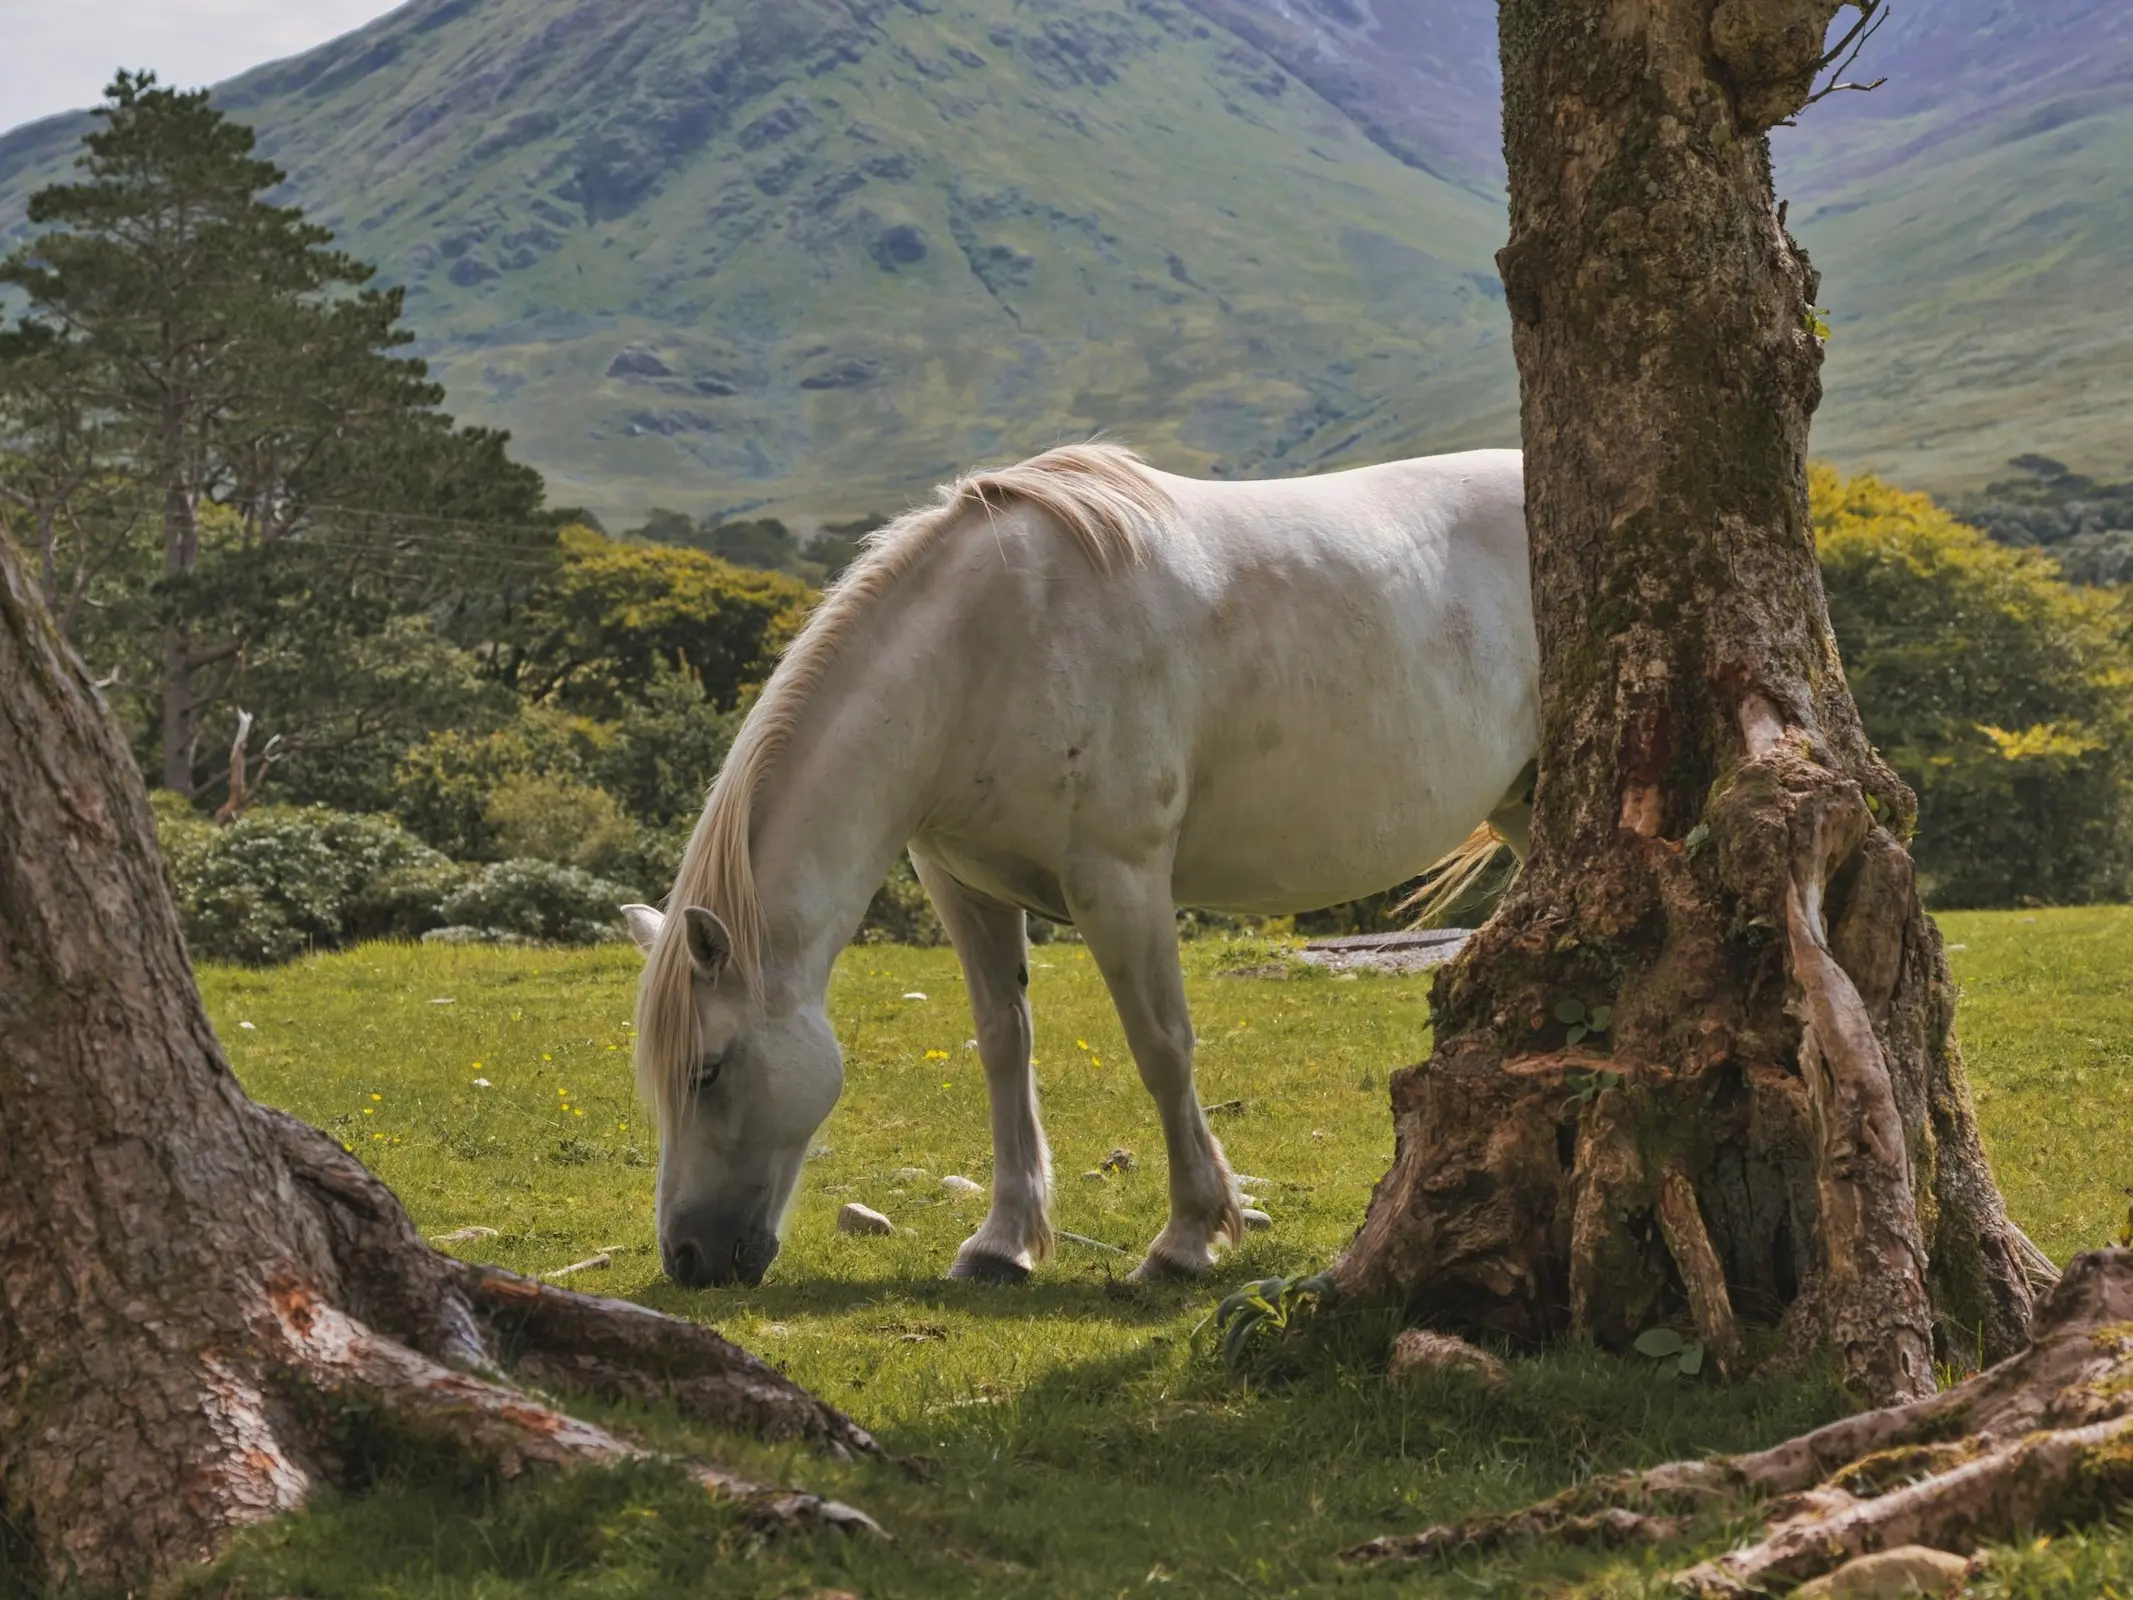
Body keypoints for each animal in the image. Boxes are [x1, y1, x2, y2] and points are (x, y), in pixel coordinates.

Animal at [618, 439, 1535, 1288]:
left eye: (707, 1071)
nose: (688, 1257)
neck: (989, 650)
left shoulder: (1118, 883)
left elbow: (1161, 1048)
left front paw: (1186, 1239)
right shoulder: (963, 887)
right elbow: (1002, 1045)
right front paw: (1002, 1242)